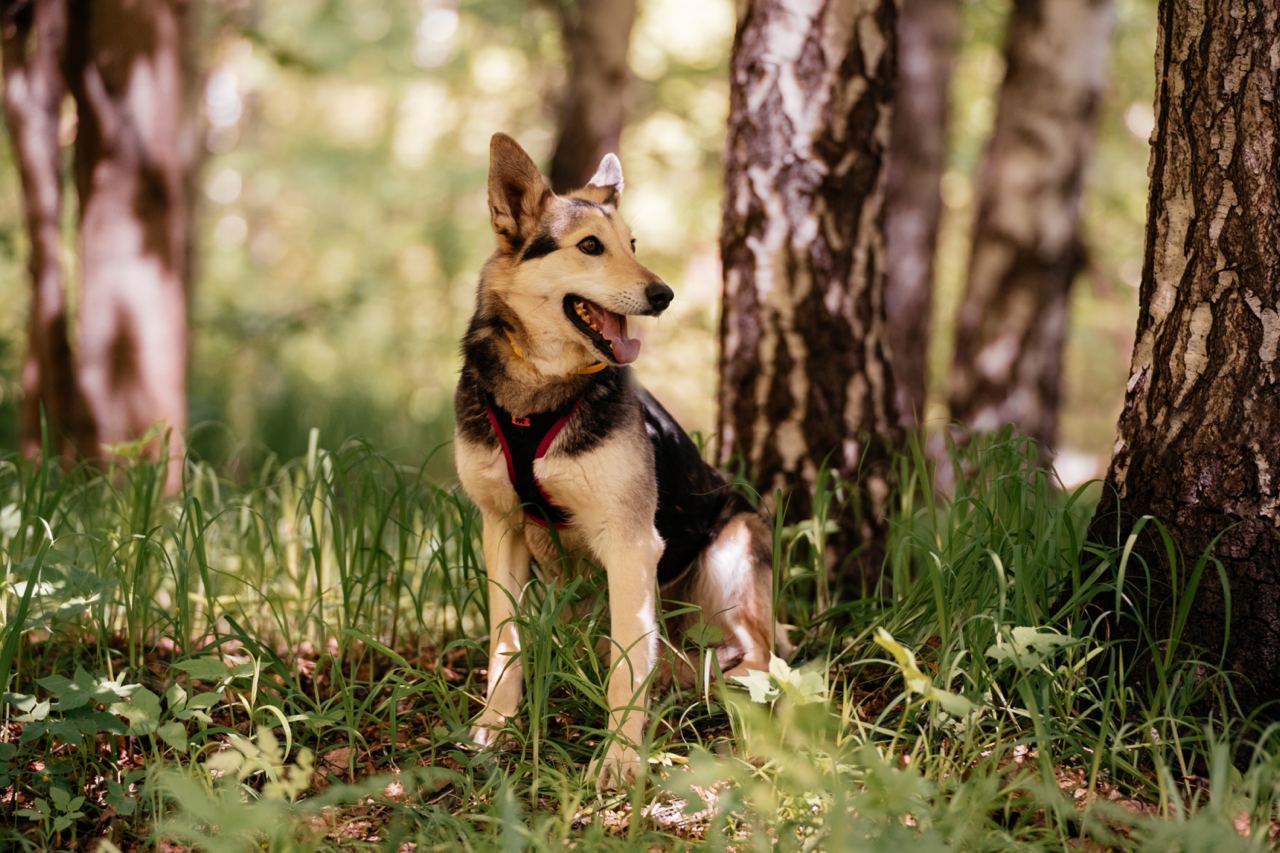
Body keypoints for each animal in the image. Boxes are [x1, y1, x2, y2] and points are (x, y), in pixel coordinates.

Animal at [460, 133, 778, 783]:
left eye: (632, 245)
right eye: (589, 246)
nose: (665, 295)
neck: (541, 387)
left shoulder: (632, 545)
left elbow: (628, 666)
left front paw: (620, 760)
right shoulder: (500, 528)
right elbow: (504, 644)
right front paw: (495, 726)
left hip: (733, 551)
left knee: (755, 656)